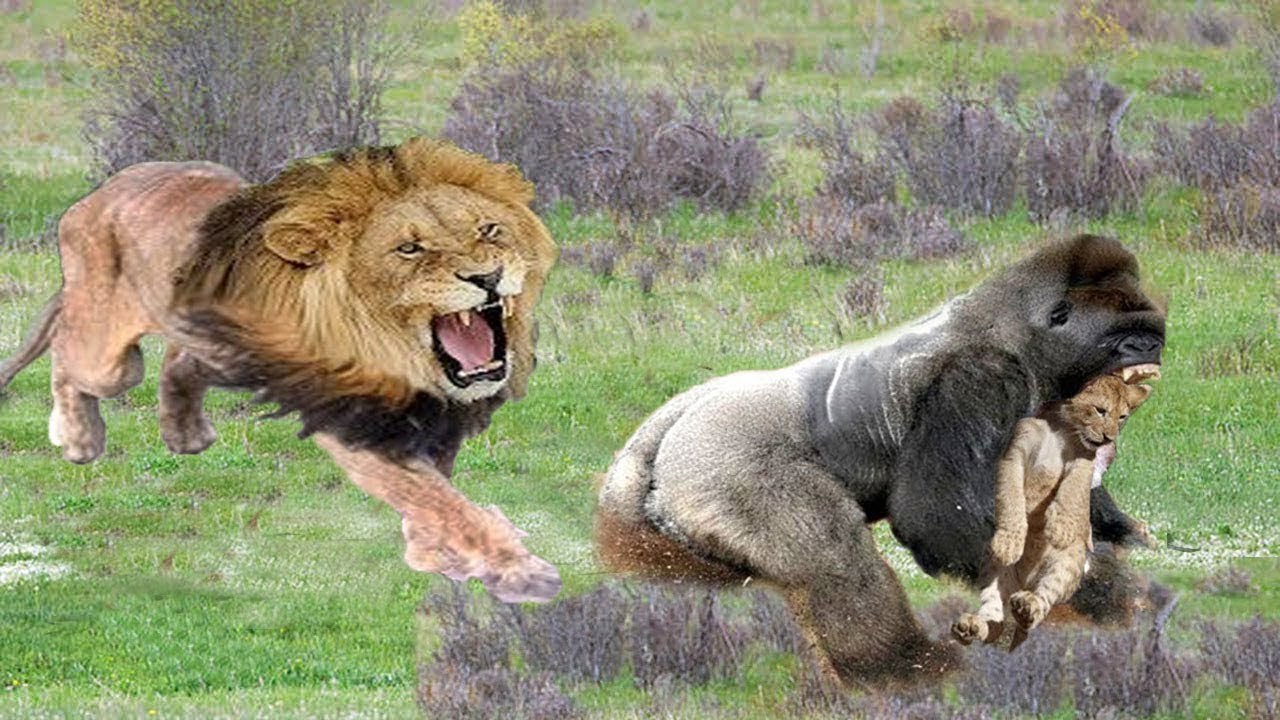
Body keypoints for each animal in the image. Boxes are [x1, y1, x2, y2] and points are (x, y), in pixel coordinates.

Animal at [0, 138, 560, 603]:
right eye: (409, 248)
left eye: (489, 230)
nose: (487, 277)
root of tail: (98, 193)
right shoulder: (358, 422)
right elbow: (443, 502)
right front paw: (518, 571)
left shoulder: (428, 420)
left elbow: (437, 495)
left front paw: (433, 556)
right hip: (108, 356)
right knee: (68, 349)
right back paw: (76, 437)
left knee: (178, 361)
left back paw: (186, 435)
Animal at [952, 373, 1153, 650]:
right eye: (1100, 410)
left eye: (1122, 416)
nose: (1109, 438)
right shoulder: (1015, 455)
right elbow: (1011, 496)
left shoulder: (1082, 467)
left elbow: (1072, 490)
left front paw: (1060, 528)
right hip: (996, 573)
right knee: (995, 615)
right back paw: (974, 626)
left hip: (1064, 567)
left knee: (1040, 601)